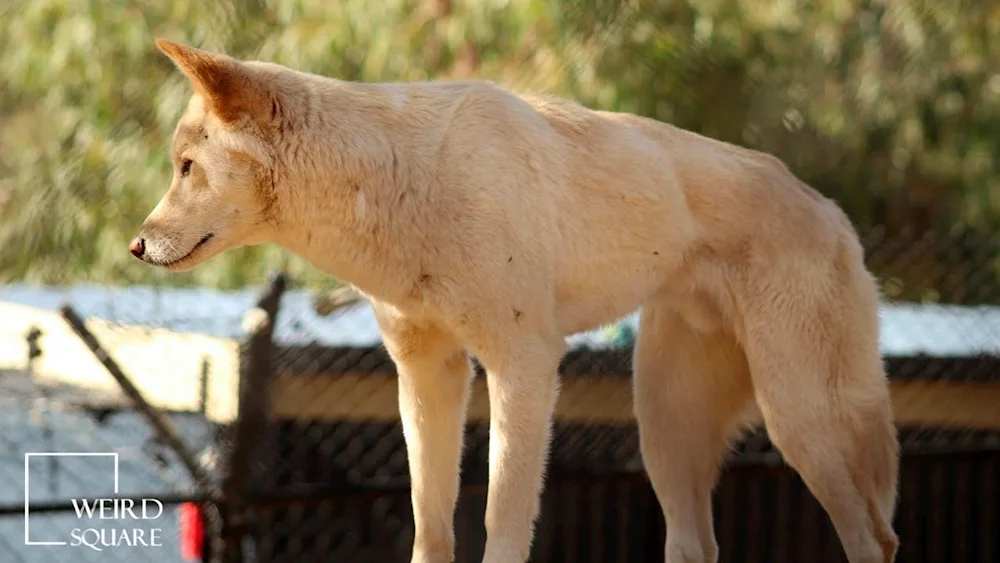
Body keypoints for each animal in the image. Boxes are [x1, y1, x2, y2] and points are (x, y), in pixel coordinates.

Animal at [131, 40, 900, 563]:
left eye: (187, 168)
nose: (137, 246)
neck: (402, 183)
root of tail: (835, 213)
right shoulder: (428, 373)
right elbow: (430, 523)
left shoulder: (523, 364)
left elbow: (501, 521)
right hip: (665, 430)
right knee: (698, 543)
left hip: (798, 419)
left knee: (875, 537)